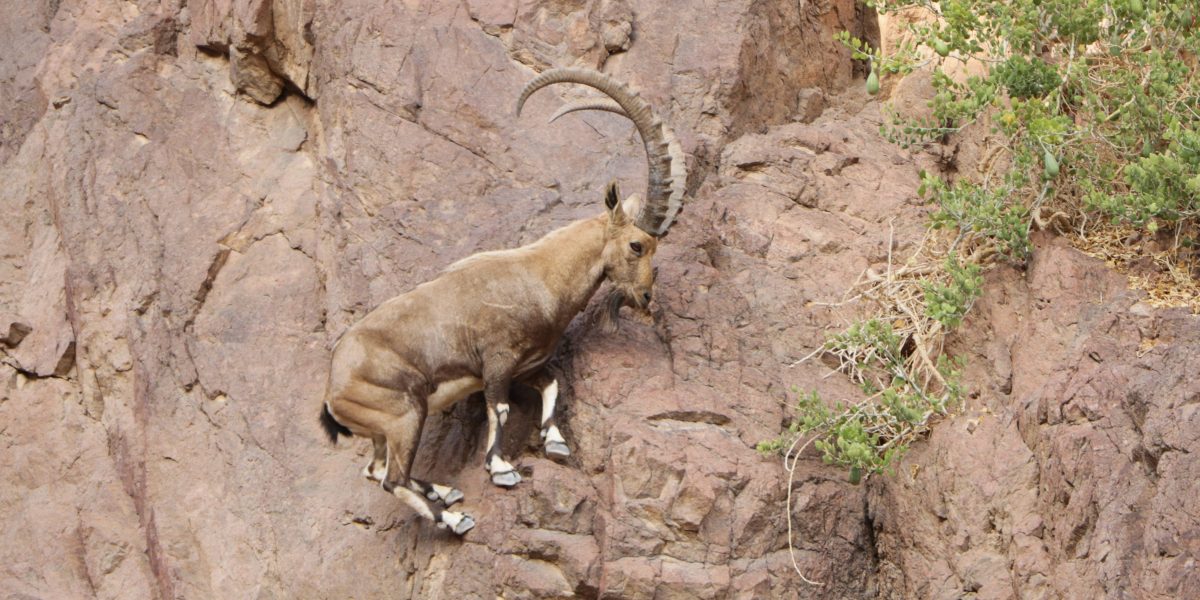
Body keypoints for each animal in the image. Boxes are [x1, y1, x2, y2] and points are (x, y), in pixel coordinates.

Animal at [319, 69, 691, 535]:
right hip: (403, 413)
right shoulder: (497, 359)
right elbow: (499, 407)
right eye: (637, 245)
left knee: (375, 470)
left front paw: (555, 442)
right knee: (391, 479)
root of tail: (332, 392)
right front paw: (501, 468)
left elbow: (552, 384)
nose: (644, 297)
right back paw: (454, 516)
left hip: (384, 427)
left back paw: (444, 492)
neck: (539, 276)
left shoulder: (525, 364)